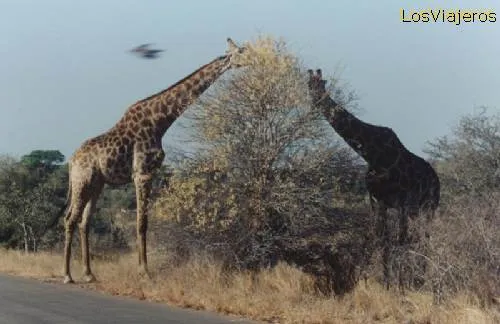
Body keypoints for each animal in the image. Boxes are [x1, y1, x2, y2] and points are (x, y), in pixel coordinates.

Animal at [51, 37, 250, 284]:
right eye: (241, 52)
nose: (254, 59)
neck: (161, 121)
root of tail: (71, 161)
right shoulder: (143, 173)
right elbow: (141, 223)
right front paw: (144, 271)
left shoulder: (149, 174)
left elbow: (144, 221)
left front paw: (143, 269)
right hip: (83, 181)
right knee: (70, 219)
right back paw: (67, 275)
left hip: (97, 185)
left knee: (84, 222)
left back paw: (89, 274)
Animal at [306, 68, 440, 288]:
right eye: (309, 85)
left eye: (322, 85)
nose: (316, 102)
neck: (372, 155)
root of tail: (437, 179)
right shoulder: (377, 200)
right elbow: (380, 239)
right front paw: (383, 282)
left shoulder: (402, 200)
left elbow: (400, 239)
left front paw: (400, 284)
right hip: (417, 209)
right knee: (417, 238)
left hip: (429, 206)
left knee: (423, 237)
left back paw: (421, 278)